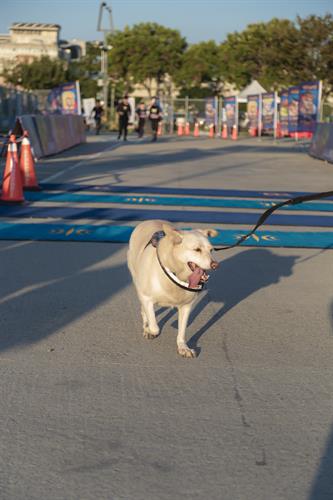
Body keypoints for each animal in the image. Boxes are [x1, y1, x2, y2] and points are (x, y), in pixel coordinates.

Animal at [127, 221, 218, 358]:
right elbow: (155, 327)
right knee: (143, 308)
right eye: (197, 249)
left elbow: (182, 331)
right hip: (136, 277)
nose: (215, 265)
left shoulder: (186, 306)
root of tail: (148, 220)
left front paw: (183, 347)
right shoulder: (147, 298)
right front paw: (149, 329)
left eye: (211, 250)